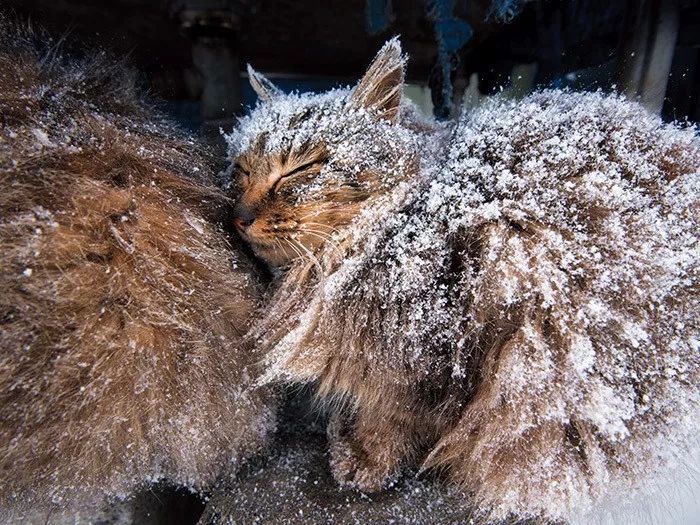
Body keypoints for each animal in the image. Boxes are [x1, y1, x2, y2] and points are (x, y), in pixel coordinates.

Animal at [228, 40, 700, 520]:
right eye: (242, 170)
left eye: (298, 170)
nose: (239, 217)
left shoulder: (438, 350)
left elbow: (393, 417)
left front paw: (366, 459)